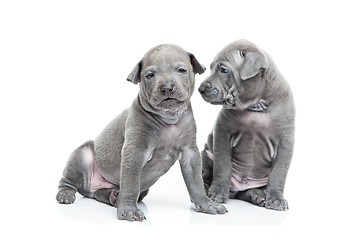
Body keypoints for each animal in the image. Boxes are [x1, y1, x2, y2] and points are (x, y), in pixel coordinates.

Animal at [55, 44, 225, 220]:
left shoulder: (189, 153)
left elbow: (196, 182)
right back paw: (66, 194)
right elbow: (131, 184)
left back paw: (112, 196)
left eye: (181, 70)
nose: (167, 88)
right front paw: (129, 210)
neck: (168, 120)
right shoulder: (135, 152)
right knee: (68, 181)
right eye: (150, 75)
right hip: (81, 156)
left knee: (100, 194)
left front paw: (207, 204)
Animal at [198, 40, 294, 211]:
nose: (200, 89)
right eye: (210, 68)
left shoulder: (285, 143)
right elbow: (223, 165)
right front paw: (217, 192)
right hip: (207, 155)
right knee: (207, 173)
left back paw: (258, 195)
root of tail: (236, 191)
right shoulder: (222, 133)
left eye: (223, 70)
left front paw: (276, 199)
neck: (256, 106)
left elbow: (279, 173)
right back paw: (206, 187)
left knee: (248, 192)